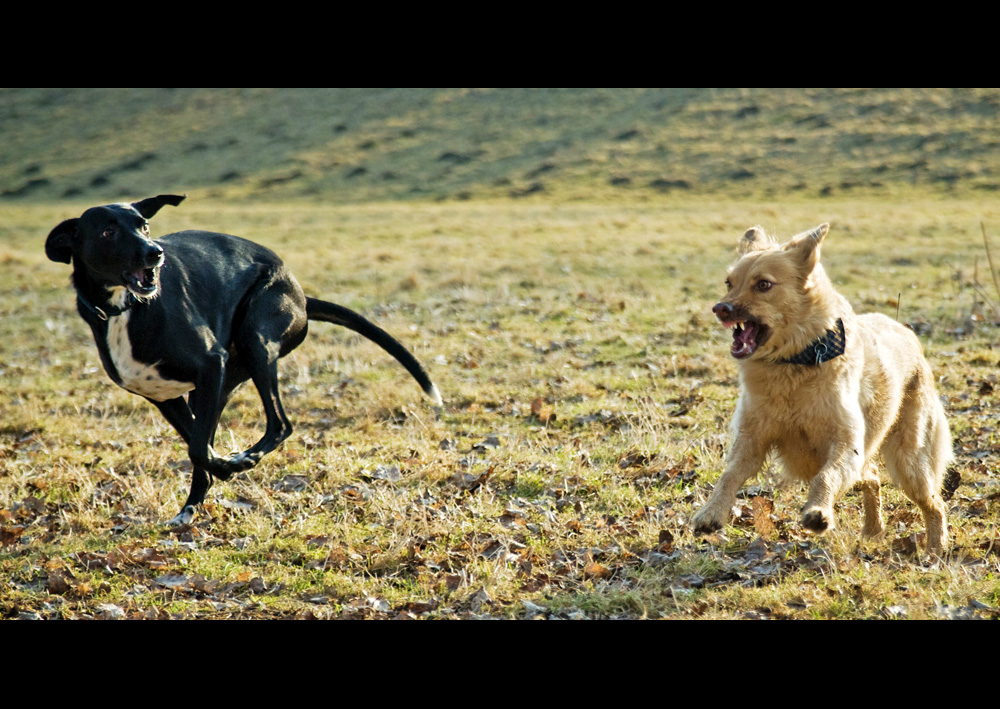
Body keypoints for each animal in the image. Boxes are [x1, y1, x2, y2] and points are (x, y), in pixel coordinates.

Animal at [45, 196, 440, 524]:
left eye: (143, 224)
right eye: (108, 231)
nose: (155, 252)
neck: (123, 310)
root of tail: (301, 296)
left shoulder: (210, 364)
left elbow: (198, 448)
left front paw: (232, 466)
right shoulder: (165, 395)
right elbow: (198, 446)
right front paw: (216, 477)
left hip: (256, 341)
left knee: (280, 424)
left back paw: (243, 459)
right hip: (218, 384)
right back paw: (195, 502)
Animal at [692, 224, 948, 556]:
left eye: (764, 284)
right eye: (729, 283)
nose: (720, 308)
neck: (793, 361)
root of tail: (906, 332)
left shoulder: (846, 442)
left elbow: (825, 477)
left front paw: (818, 512)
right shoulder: (751, 439)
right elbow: (729, 475)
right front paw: (711, 513)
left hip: (911, 462)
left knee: (934, 503)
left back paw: (936, 550)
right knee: (872, 478)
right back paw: (873, 530)